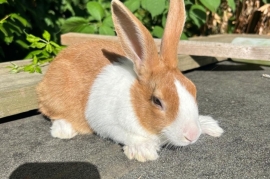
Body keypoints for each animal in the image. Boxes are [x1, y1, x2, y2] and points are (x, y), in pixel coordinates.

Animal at [37, 0, 224, 162]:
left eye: (193, 89)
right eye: (157, 101)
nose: (192, 135)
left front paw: (211, 126)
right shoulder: (108, 123)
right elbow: (127, 135)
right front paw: (144, 151)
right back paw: (64, 130)